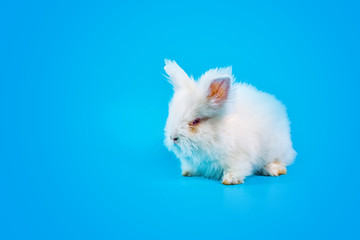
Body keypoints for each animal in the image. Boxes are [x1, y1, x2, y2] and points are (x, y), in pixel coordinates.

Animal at [165, 60, 296, 186]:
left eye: (195, 121)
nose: (173, 138)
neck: (216, 134)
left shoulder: (238, 158)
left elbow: (236, 170)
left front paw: (230, 180)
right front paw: (187, 172)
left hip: (275, 149)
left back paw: (272, 169)